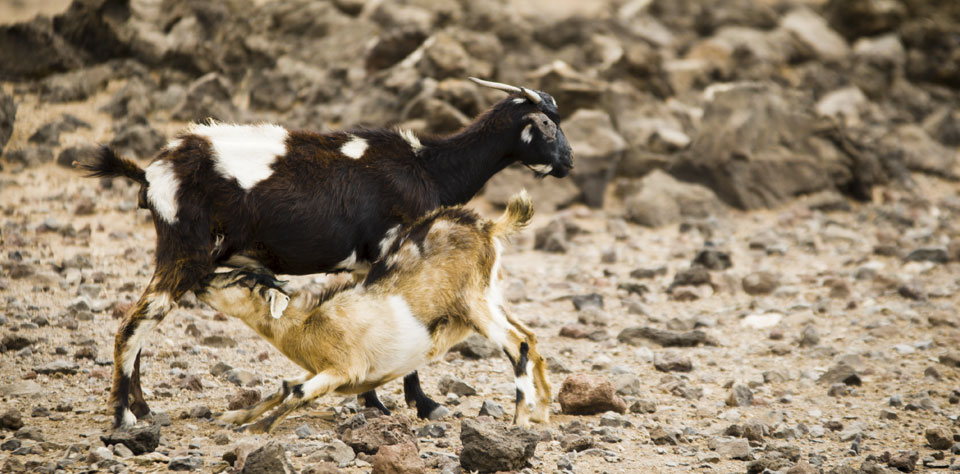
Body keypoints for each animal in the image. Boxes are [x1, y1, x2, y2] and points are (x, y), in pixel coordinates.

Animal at [79, 76, 572, 428]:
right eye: (547, 125)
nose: (568, 163)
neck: (427, 165)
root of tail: (150, 173)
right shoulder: (393, 245)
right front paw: (418, 404)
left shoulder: (373, 263)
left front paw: (376, 400)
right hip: (186, 253)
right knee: (132, 327)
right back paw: (124, 417)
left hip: (176, 256)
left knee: (140, 324)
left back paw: (143, 409)